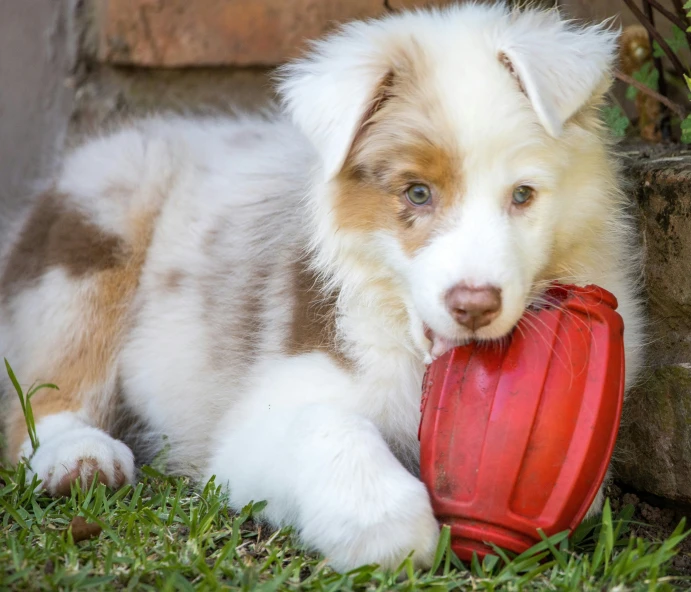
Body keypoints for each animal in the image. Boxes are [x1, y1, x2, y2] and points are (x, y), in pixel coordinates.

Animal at [2, 2, 648, 572]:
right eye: (417, 193)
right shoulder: (257, 420)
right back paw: (79, 458)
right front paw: (382, 524)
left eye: (523, 195)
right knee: (42, 391)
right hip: (101, 220)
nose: (474, 305)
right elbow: (332, 428)